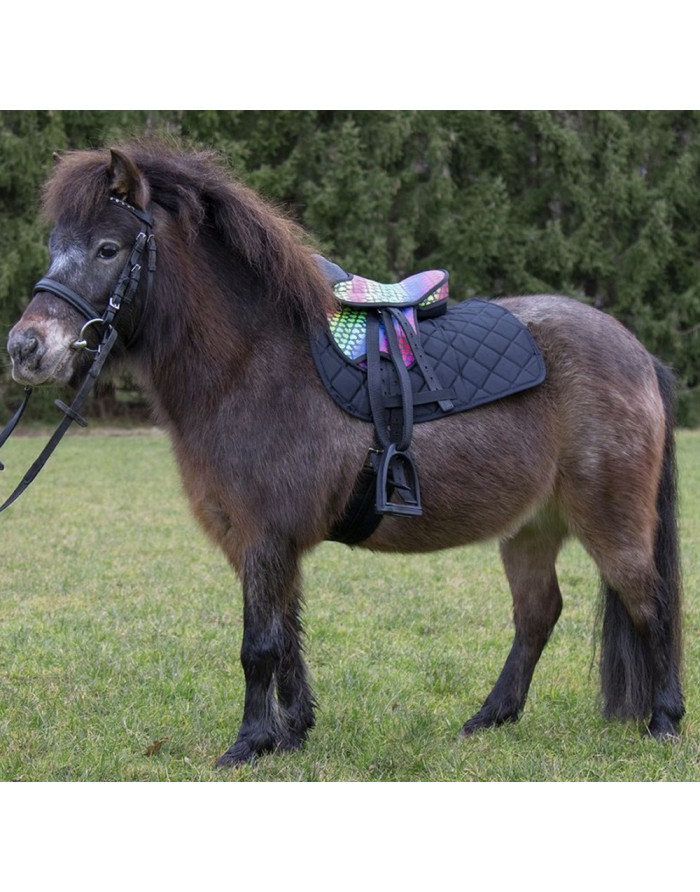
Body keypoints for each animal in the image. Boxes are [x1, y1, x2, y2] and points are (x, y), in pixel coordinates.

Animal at [4, 141, 684, 768]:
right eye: (54, 246)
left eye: (107, 249)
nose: (25, 348)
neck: (251, 366)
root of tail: (636, 352)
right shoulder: (262, 544)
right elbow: (287, 637)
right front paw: (291, 734)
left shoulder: (264, 537)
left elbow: (259, 645)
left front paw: (249, 745)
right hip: (531, 526)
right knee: (539, 613)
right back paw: (490, 718)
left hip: (611, 522)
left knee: (650, 604)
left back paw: (664, 722)